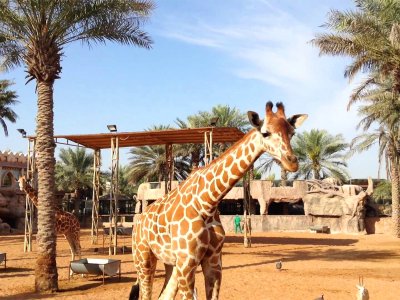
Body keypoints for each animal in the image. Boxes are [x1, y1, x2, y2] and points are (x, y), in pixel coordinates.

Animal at [130, 102, 308, 298]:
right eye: (265, 132)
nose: (292, 162)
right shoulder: (187, 263)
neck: (206, 203)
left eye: (292, 133)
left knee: (164, 295)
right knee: (145, 292)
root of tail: (139, 221)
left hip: (171, 263)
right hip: (143, 257)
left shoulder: (213, 262)